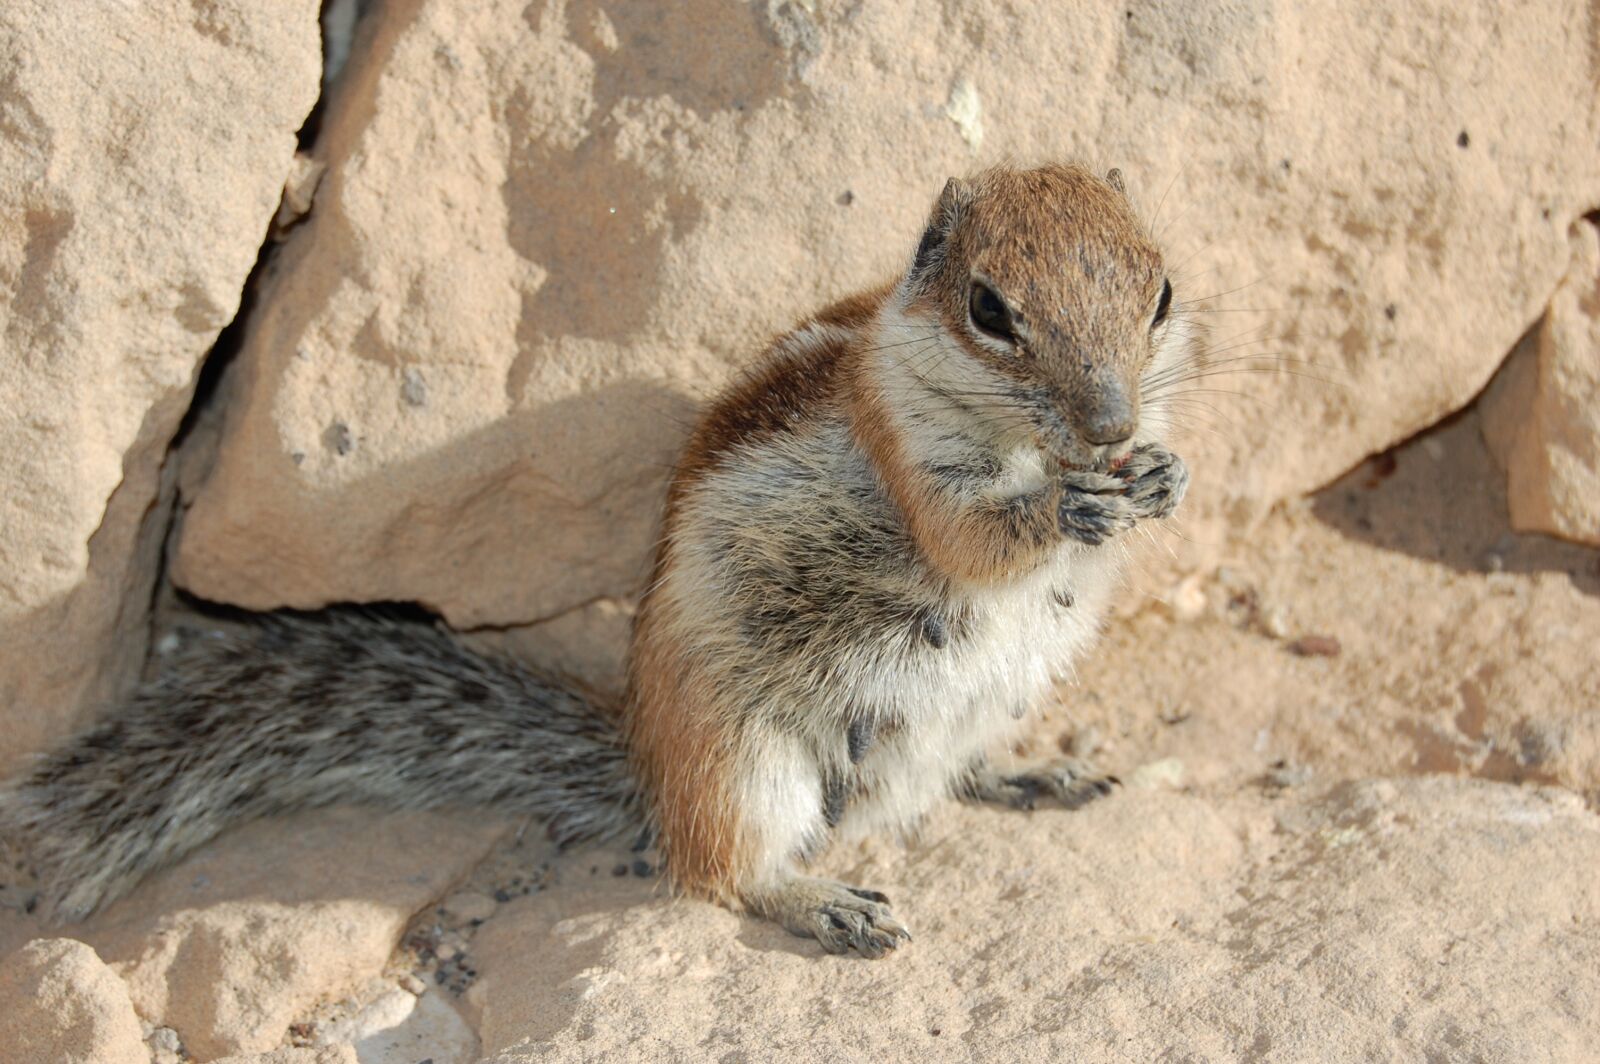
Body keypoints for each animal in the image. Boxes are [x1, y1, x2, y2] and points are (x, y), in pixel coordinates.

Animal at [0, 163, 1193, 958]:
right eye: (990, 310)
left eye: (1163, 292)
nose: (1110, 421)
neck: (1025, 440)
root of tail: (644, 763)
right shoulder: (913, 458)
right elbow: (971, 536)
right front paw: (1070, 504)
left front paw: (1163, 474)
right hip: (742, 760)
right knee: (724, 872)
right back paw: (826, 903)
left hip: (981, 704)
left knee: (941, 775)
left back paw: (1034, 770)